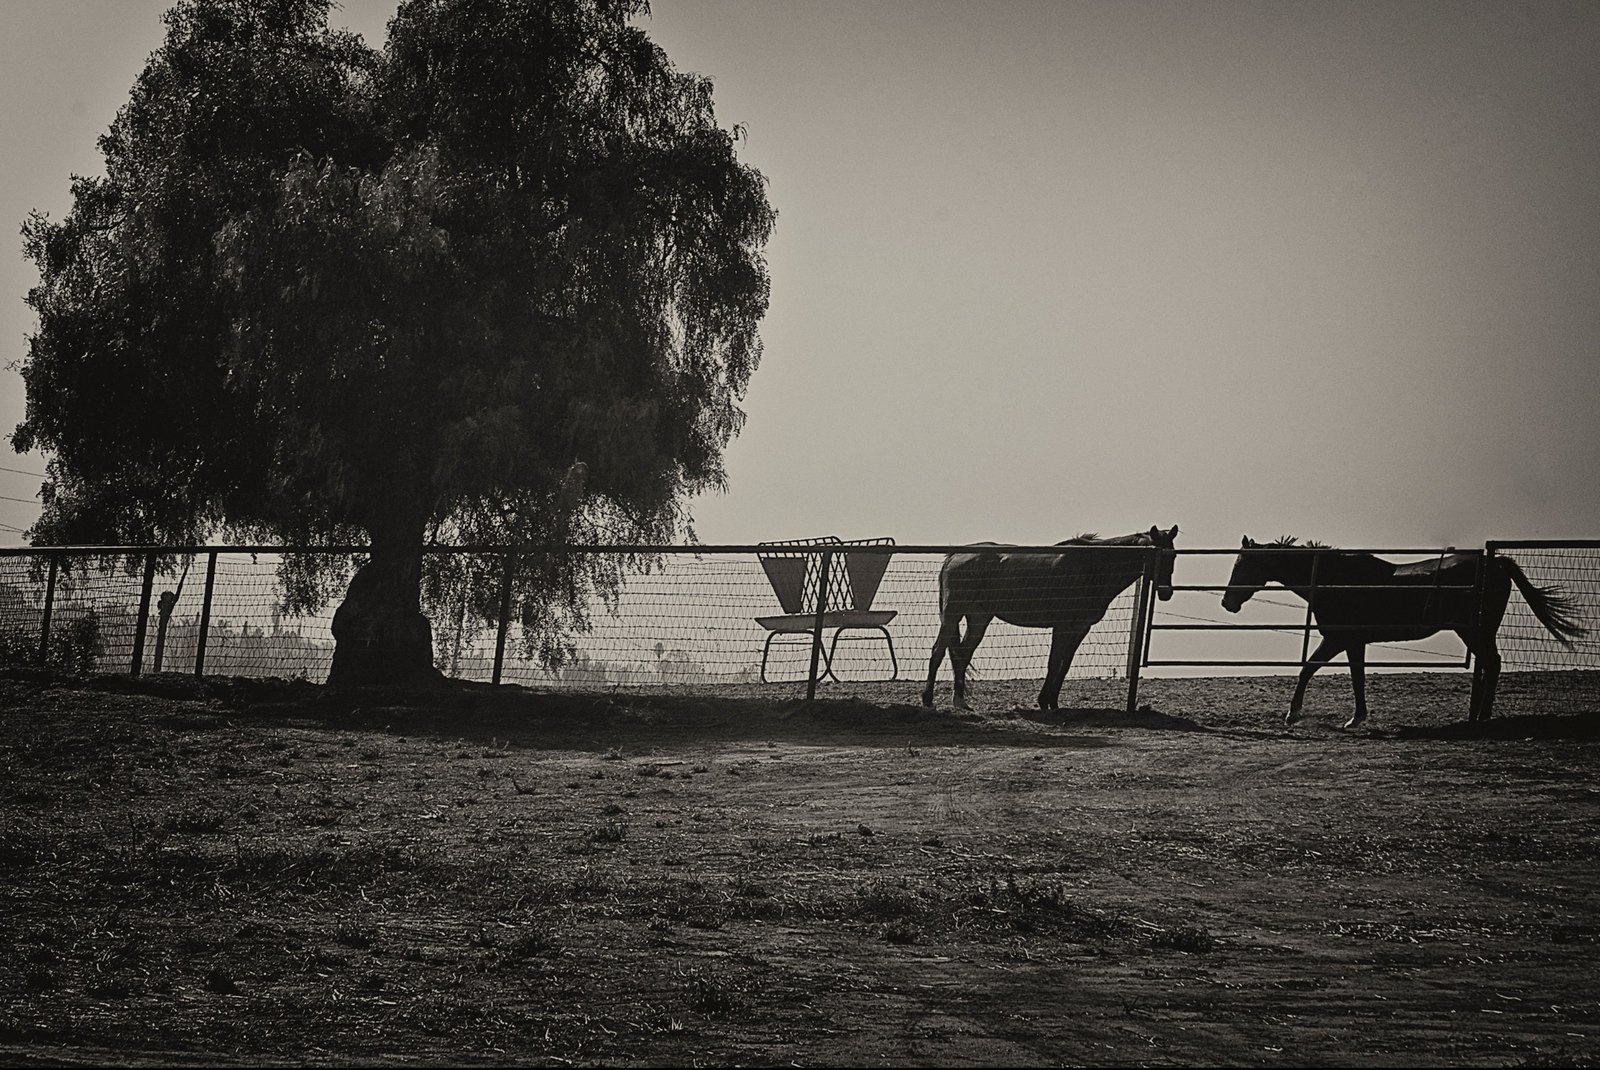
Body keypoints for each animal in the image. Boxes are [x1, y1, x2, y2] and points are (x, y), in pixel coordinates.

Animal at [921, 526, 1179, 711]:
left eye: (1173, 555)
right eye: (1158, 556)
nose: (1166, 592)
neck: (1093, 566)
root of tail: (954, 555)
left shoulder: (1080, 628)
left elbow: (1064, 665)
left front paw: (1052, 701)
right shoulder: (1062, 626)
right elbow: (1055, 662)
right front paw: (1044, 701)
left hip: (978, 618)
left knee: (962, 654)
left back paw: (960, 701)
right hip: (953, 615)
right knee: (937, 652)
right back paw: (928, 699)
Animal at [1221, 536, 1587, 727]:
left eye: (1242, 565)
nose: (1227, 602)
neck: (1335, 580)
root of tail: (1495, 562)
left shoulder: (1338, 638)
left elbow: (1308, 668)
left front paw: (1293, 714)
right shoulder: (1353, 642)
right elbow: (1357, 677)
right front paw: (1357, 717)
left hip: (1475, 632)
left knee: (1493, 664)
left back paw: (1481, 717)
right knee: (1489, 664)